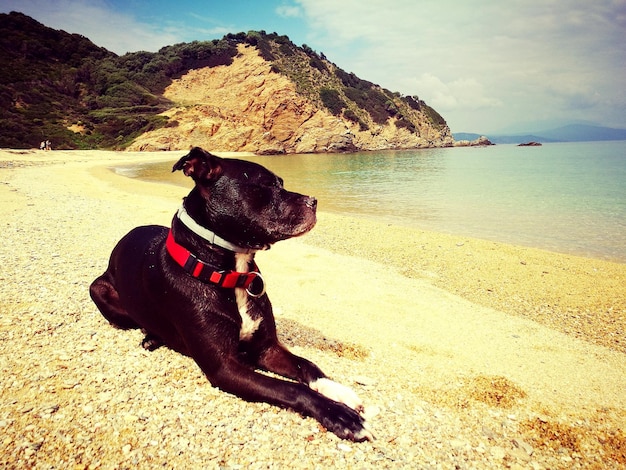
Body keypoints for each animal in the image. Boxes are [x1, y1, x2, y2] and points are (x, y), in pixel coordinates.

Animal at [90, 146, 368, 440]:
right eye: (268, 186)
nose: (314, 201)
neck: (230, 274)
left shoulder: (267, 349)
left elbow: (307, 364)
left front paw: (337, 391)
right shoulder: (225, 368)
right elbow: (291, 388)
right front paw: (338, 414)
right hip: (98, 290)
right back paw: (151, 337)